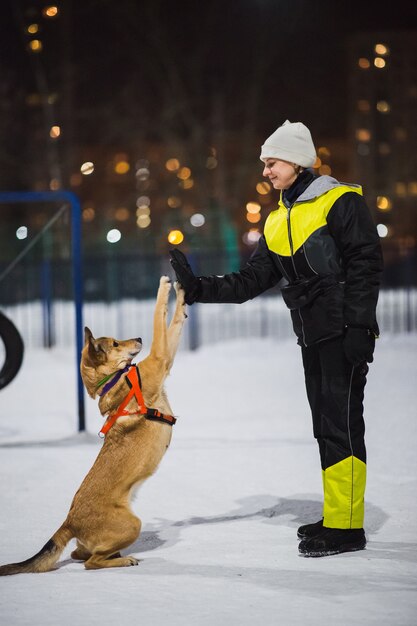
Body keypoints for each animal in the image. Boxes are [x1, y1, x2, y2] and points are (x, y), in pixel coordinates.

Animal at [0, 278, 185, 576]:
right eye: (115, 343)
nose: (138, 339)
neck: (113, 381)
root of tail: (68, 521)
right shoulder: (160, 357)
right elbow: (162, 319)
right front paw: (166, 286)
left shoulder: (162, 359)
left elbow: (175, 323)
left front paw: (181, 292)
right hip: (131, 524)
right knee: (90, 562)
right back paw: (123, 560)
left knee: (79, 553)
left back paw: (115, 555)